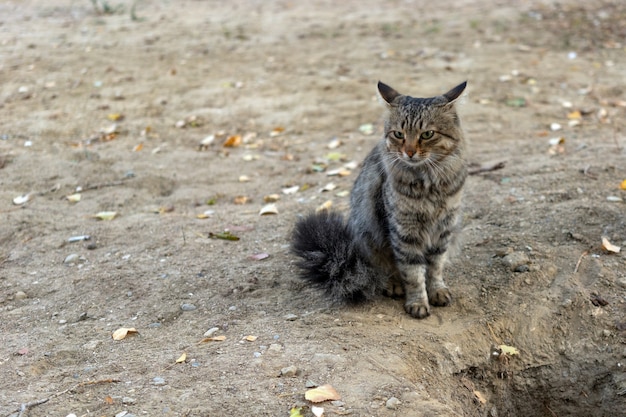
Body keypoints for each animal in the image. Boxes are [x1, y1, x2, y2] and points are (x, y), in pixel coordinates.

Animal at [290, 79, 466, 316]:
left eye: (427, 134)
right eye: (399, 134)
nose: (409, 152)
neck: (429, 182)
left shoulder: (444, 228)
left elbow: (435, 267)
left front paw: (437, 290)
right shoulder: (404, 231)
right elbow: (412, 272)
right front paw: (418, 302)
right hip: (368, 235)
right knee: (385, 269)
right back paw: (393, 285)